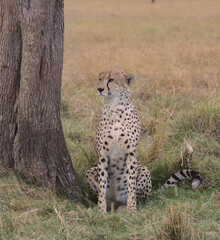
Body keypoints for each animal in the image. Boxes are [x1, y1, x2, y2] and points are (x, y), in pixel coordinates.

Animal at [85, 69, 201, 212]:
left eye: (111, 80)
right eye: (100, 79)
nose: (100, 89)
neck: (114, 106)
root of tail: (115, 203)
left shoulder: (131, 153)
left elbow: (131, 184)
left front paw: (132, 209)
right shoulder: (103, 155)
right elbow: (102, 185)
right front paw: (101, 209)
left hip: (144, 170)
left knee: (141, 196)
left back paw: (125, 207)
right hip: (90, 171)